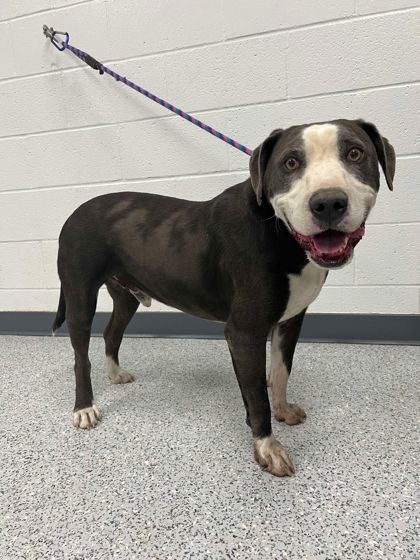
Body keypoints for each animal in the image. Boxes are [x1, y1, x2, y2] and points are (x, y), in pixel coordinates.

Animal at [54, 118, 396, 476]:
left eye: (355, 153)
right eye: (290, 163)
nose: (328, 202)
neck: (280, 233)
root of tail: (76, 211)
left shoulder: (290, 321)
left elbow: (280, 372)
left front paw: (283, 409)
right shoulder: (244, 331)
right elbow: (257, 394)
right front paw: (267, 447)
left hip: (127, 296)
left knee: (111, 332)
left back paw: (115, 373)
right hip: (79, 295)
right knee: (80, 357)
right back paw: (85, 407)